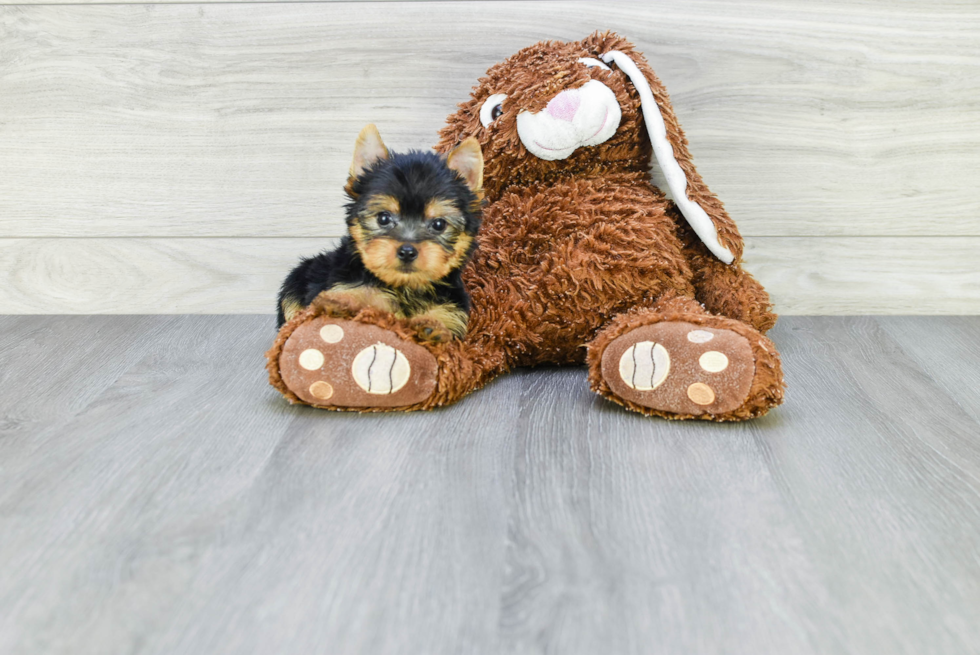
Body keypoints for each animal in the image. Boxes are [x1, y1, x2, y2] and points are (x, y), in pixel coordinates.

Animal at [276, 125, 482, 346]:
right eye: (383, 218)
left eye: (438, 224)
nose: (407, 251)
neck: (404, 287)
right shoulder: (346, 283)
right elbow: (354, 296)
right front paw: (340, 305)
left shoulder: (453, 308)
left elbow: (445, 324)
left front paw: (432, 326)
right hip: (297, 279)